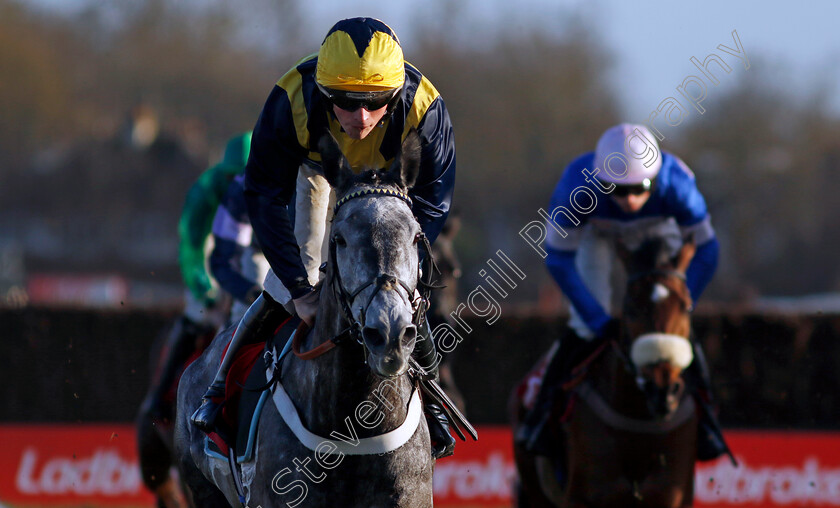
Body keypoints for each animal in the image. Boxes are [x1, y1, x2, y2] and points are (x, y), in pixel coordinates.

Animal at [516, 238, 700, 508]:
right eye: (631, 307)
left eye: (686, 307)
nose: (662, 389)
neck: (638, 421)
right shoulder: (582, 497)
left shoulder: (670, 495)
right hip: (536, 491)